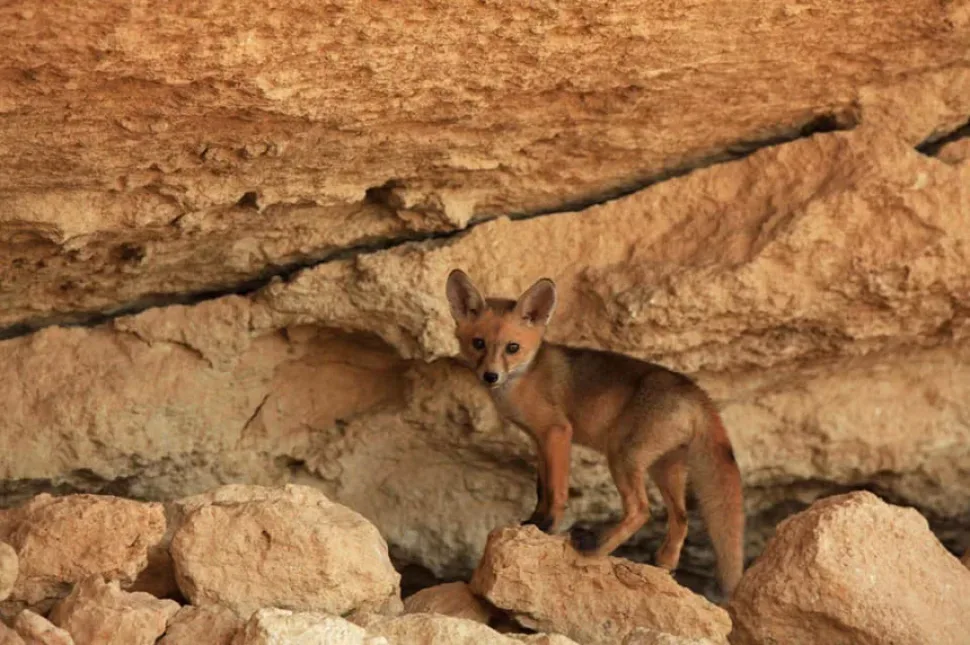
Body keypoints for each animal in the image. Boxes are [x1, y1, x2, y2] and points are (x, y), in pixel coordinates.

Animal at [445, 269, 746, 596]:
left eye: (512, 347)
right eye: (478, 343)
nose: (490, 376)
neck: (525, 378)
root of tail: (696, 391)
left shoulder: (557, 432)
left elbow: (556, 490)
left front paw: (547, 526)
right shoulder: (539, 441)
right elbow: (541, 489)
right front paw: (533, 521)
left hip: (623, 456)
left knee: (641, 510)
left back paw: (598, 548)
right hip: (665, 468)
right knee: (681, 517)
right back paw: (664, 564)